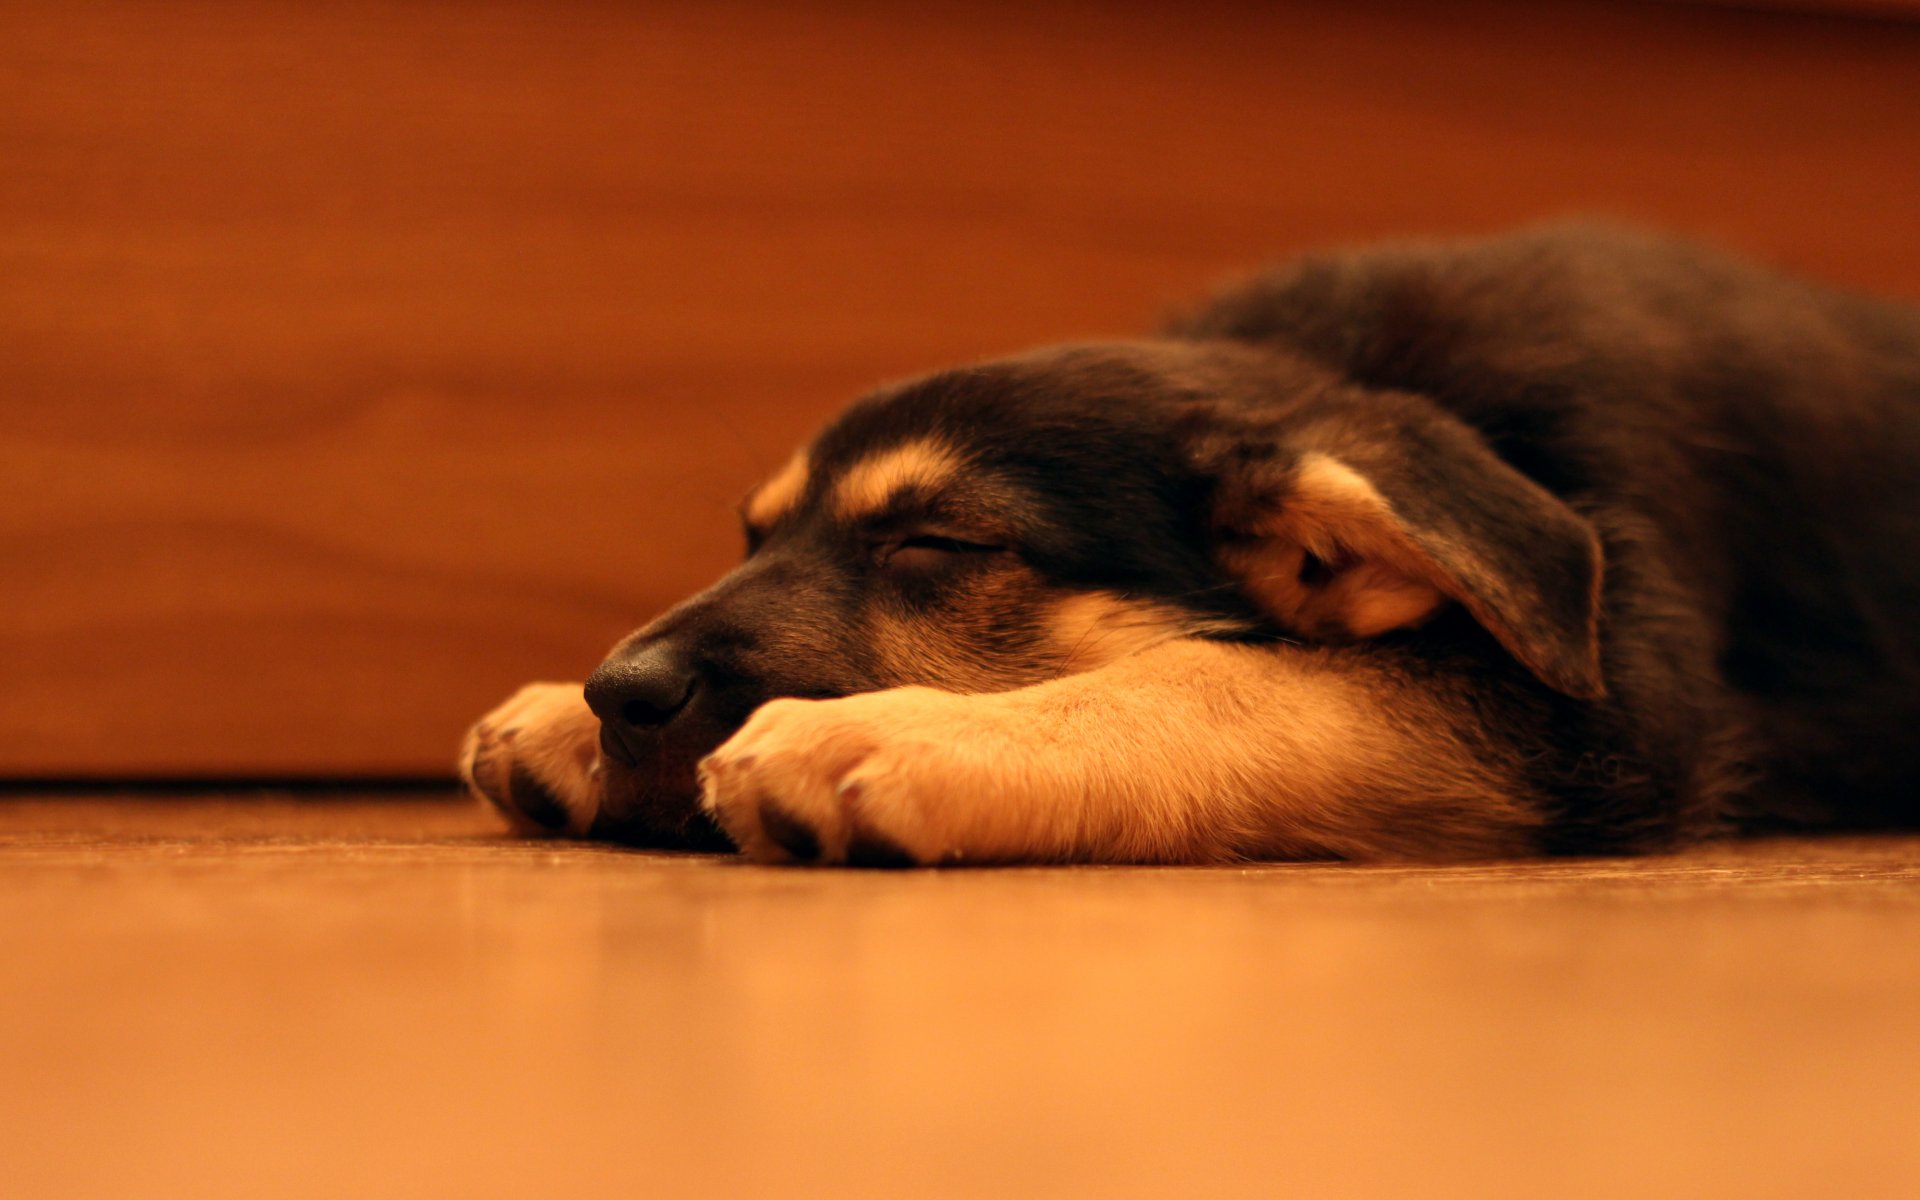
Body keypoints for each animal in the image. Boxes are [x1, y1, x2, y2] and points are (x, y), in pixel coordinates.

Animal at [453, 222, 1920, 860]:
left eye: (936, 543)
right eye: (756, 534)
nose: (620, 692)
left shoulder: (1605, 704)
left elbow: (1234, 676)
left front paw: (897, 735)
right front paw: (565, 721)